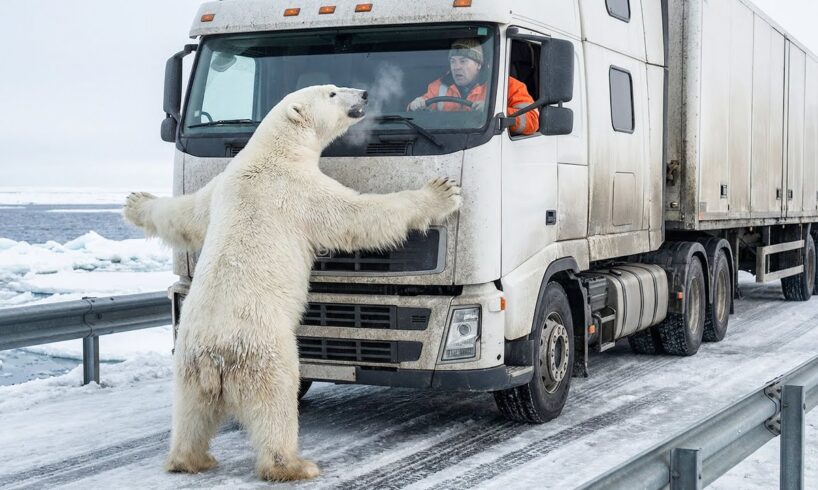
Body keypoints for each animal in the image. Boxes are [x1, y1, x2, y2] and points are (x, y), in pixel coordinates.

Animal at [123, 84, 462, 481]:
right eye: (332, 92)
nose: (363, 93)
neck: (272, 152)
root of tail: (215, 356)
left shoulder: (220, 187)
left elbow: (186, 215)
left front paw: (136, 201)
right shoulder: (300, 191)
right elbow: (357, 216)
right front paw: (441, 192)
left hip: (187, 366)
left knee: (191, 414)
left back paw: (189, 459)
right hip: (265, 355)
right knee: (276, 406)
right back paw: (295, 465)